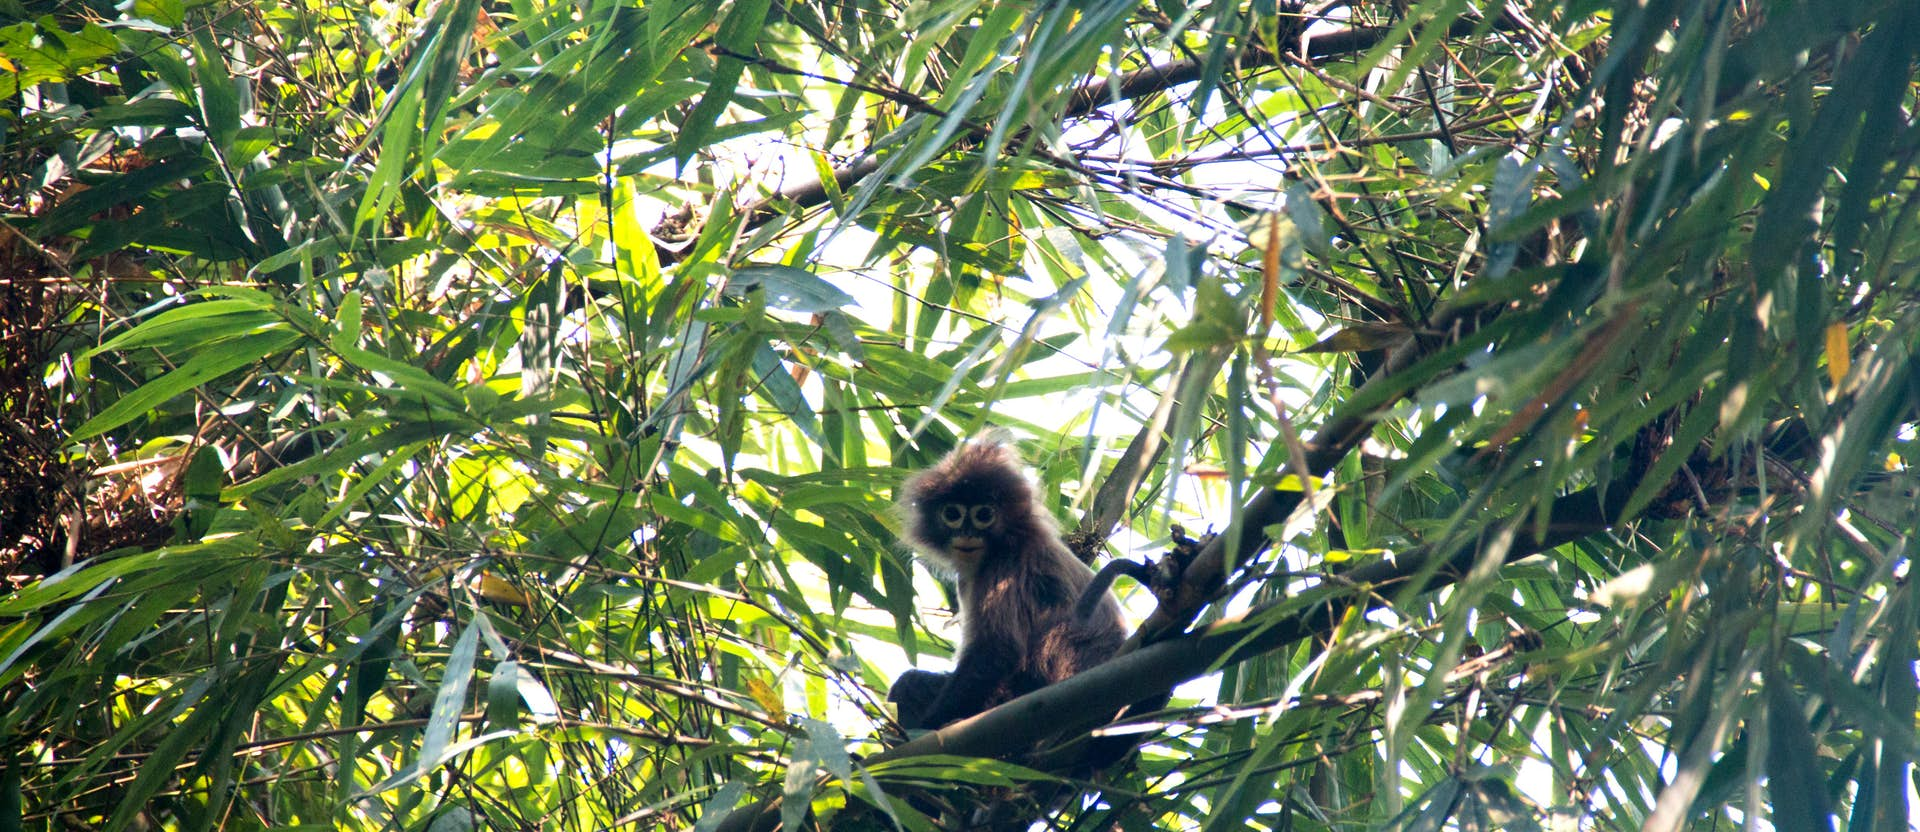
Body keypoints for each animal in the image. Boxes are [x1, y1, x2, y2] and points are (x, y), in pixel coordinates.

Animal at [883, 438, 1121, 730]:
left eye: (984, 515)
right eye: (952, 513)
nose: (967, 534)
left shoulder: (1004, 567)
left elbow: (998, 650)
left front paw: (930, 724)